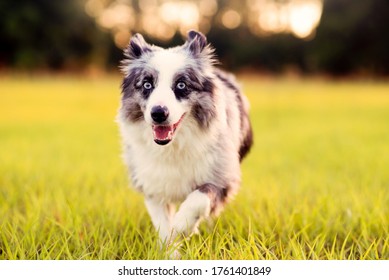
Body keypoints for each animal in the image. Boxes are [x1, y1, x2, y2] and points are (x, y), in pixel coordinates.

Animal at [116, 30, 253, 248]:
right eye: (147, 84)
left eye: (181, 85)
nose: (158, 113)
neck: (174, 146)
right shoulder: (153, 186)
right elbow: (164, 229)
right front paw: (170, 249)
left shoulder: (223, 178)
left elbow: (199, 198)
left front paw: (182, 225)